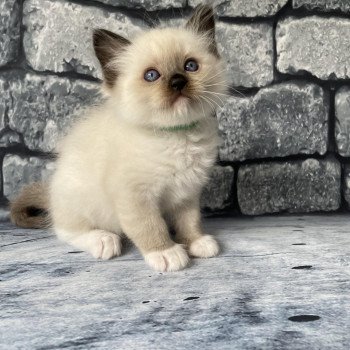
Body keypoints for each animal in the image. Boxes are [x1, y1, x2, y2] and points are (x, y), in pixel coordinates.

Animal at [10, 6, 227, 274]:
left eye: (190, 66)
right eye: (151, 75)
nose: (178, 81)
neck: (176, 135)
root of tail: (50, 191)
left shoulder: (187, 193)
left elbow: (189, 221)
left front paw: (197, 242)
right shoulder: (134, 196)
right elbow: (150, 226)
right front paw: (166, 253)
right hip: (79, 199)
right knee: (65, 230)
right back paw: (104, 240)